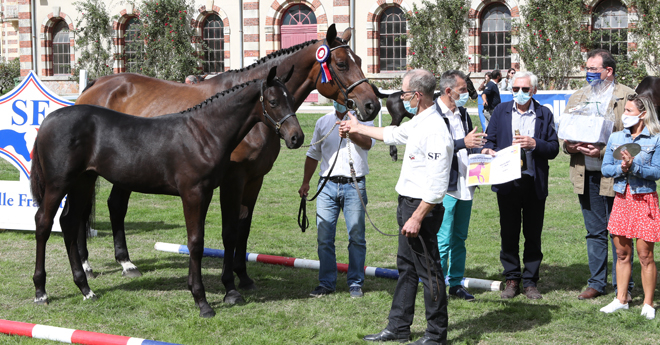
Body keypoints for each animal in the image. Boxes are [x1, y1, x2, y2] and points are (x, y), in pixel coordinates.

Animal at [29, 65, 300, 318]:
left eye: (292, 99)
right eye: (273, 101)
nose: (296, 137)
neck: (204, 132)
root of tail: (47, 121)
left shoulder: (206, 193)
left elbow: (202, 240)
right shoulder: (193, 193)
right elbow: (196, 243)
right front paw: (202, 302)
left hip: (82, 182)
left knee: (69, 222)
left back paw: (85, 288)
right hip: (59, 184)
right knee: (44, 222)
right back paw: (41, 292)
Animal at [74, 24, 378, 304]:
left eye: (360, 60)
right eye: (342, 63)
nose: (372, 105)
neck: (251, 116)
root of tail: (96, 85)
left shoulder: (255, 179)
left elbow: (243, 229)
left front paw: (243, 277)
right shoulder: (233, 180)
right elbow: (229, 232)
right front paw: (229, 286)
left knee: (115, 206)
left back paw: (126, 264)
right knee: (83, 212)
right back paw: (87, 267)